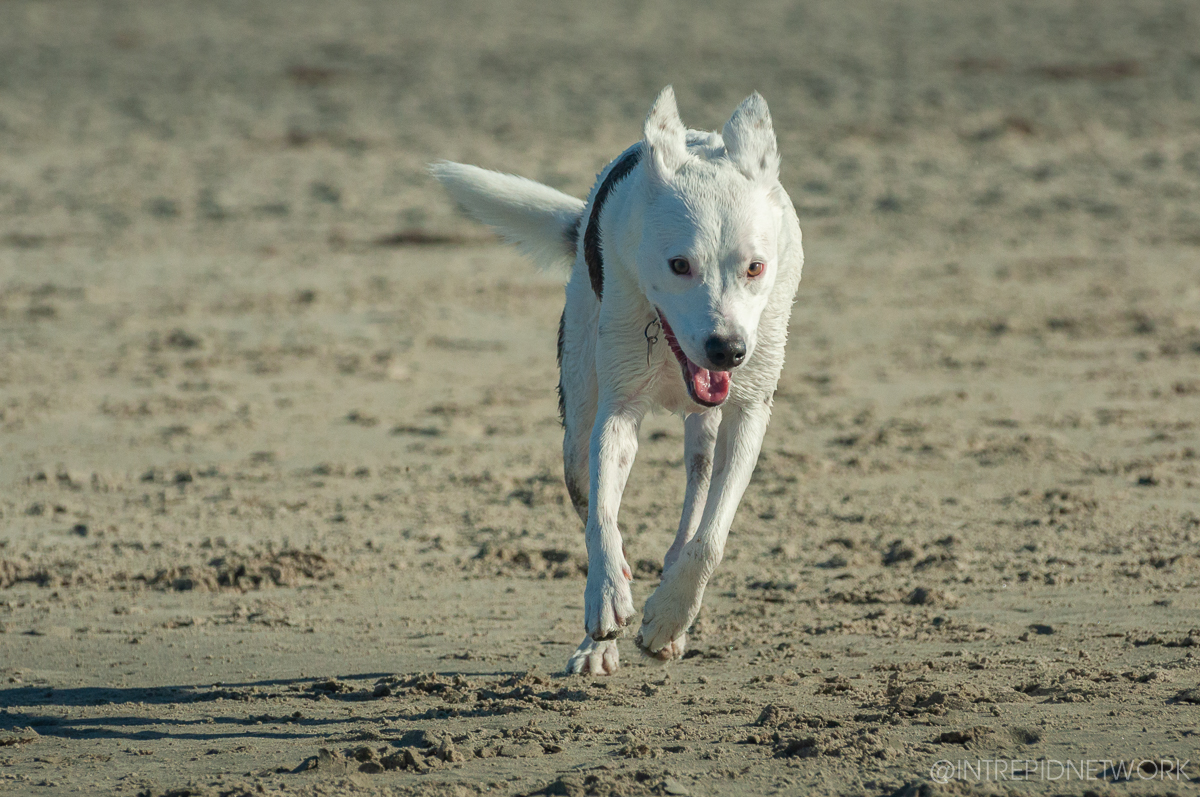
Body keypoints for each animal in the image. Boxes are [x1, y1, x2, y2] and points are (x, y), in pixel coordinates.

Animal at [432, 85, 806, 672]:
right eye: (679, 264)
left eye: (755, 267)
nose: (727, 351)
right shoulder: (617, 413)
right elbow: (603, 519)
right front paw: (608, 597)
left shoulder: (749, 411)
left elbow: (711, 539)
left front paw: (670, 615)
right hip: (576, 415)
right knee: (589, 498)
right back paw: (597, 645)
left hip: (707, 427)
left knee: (698, 491)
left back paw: (670, 617)